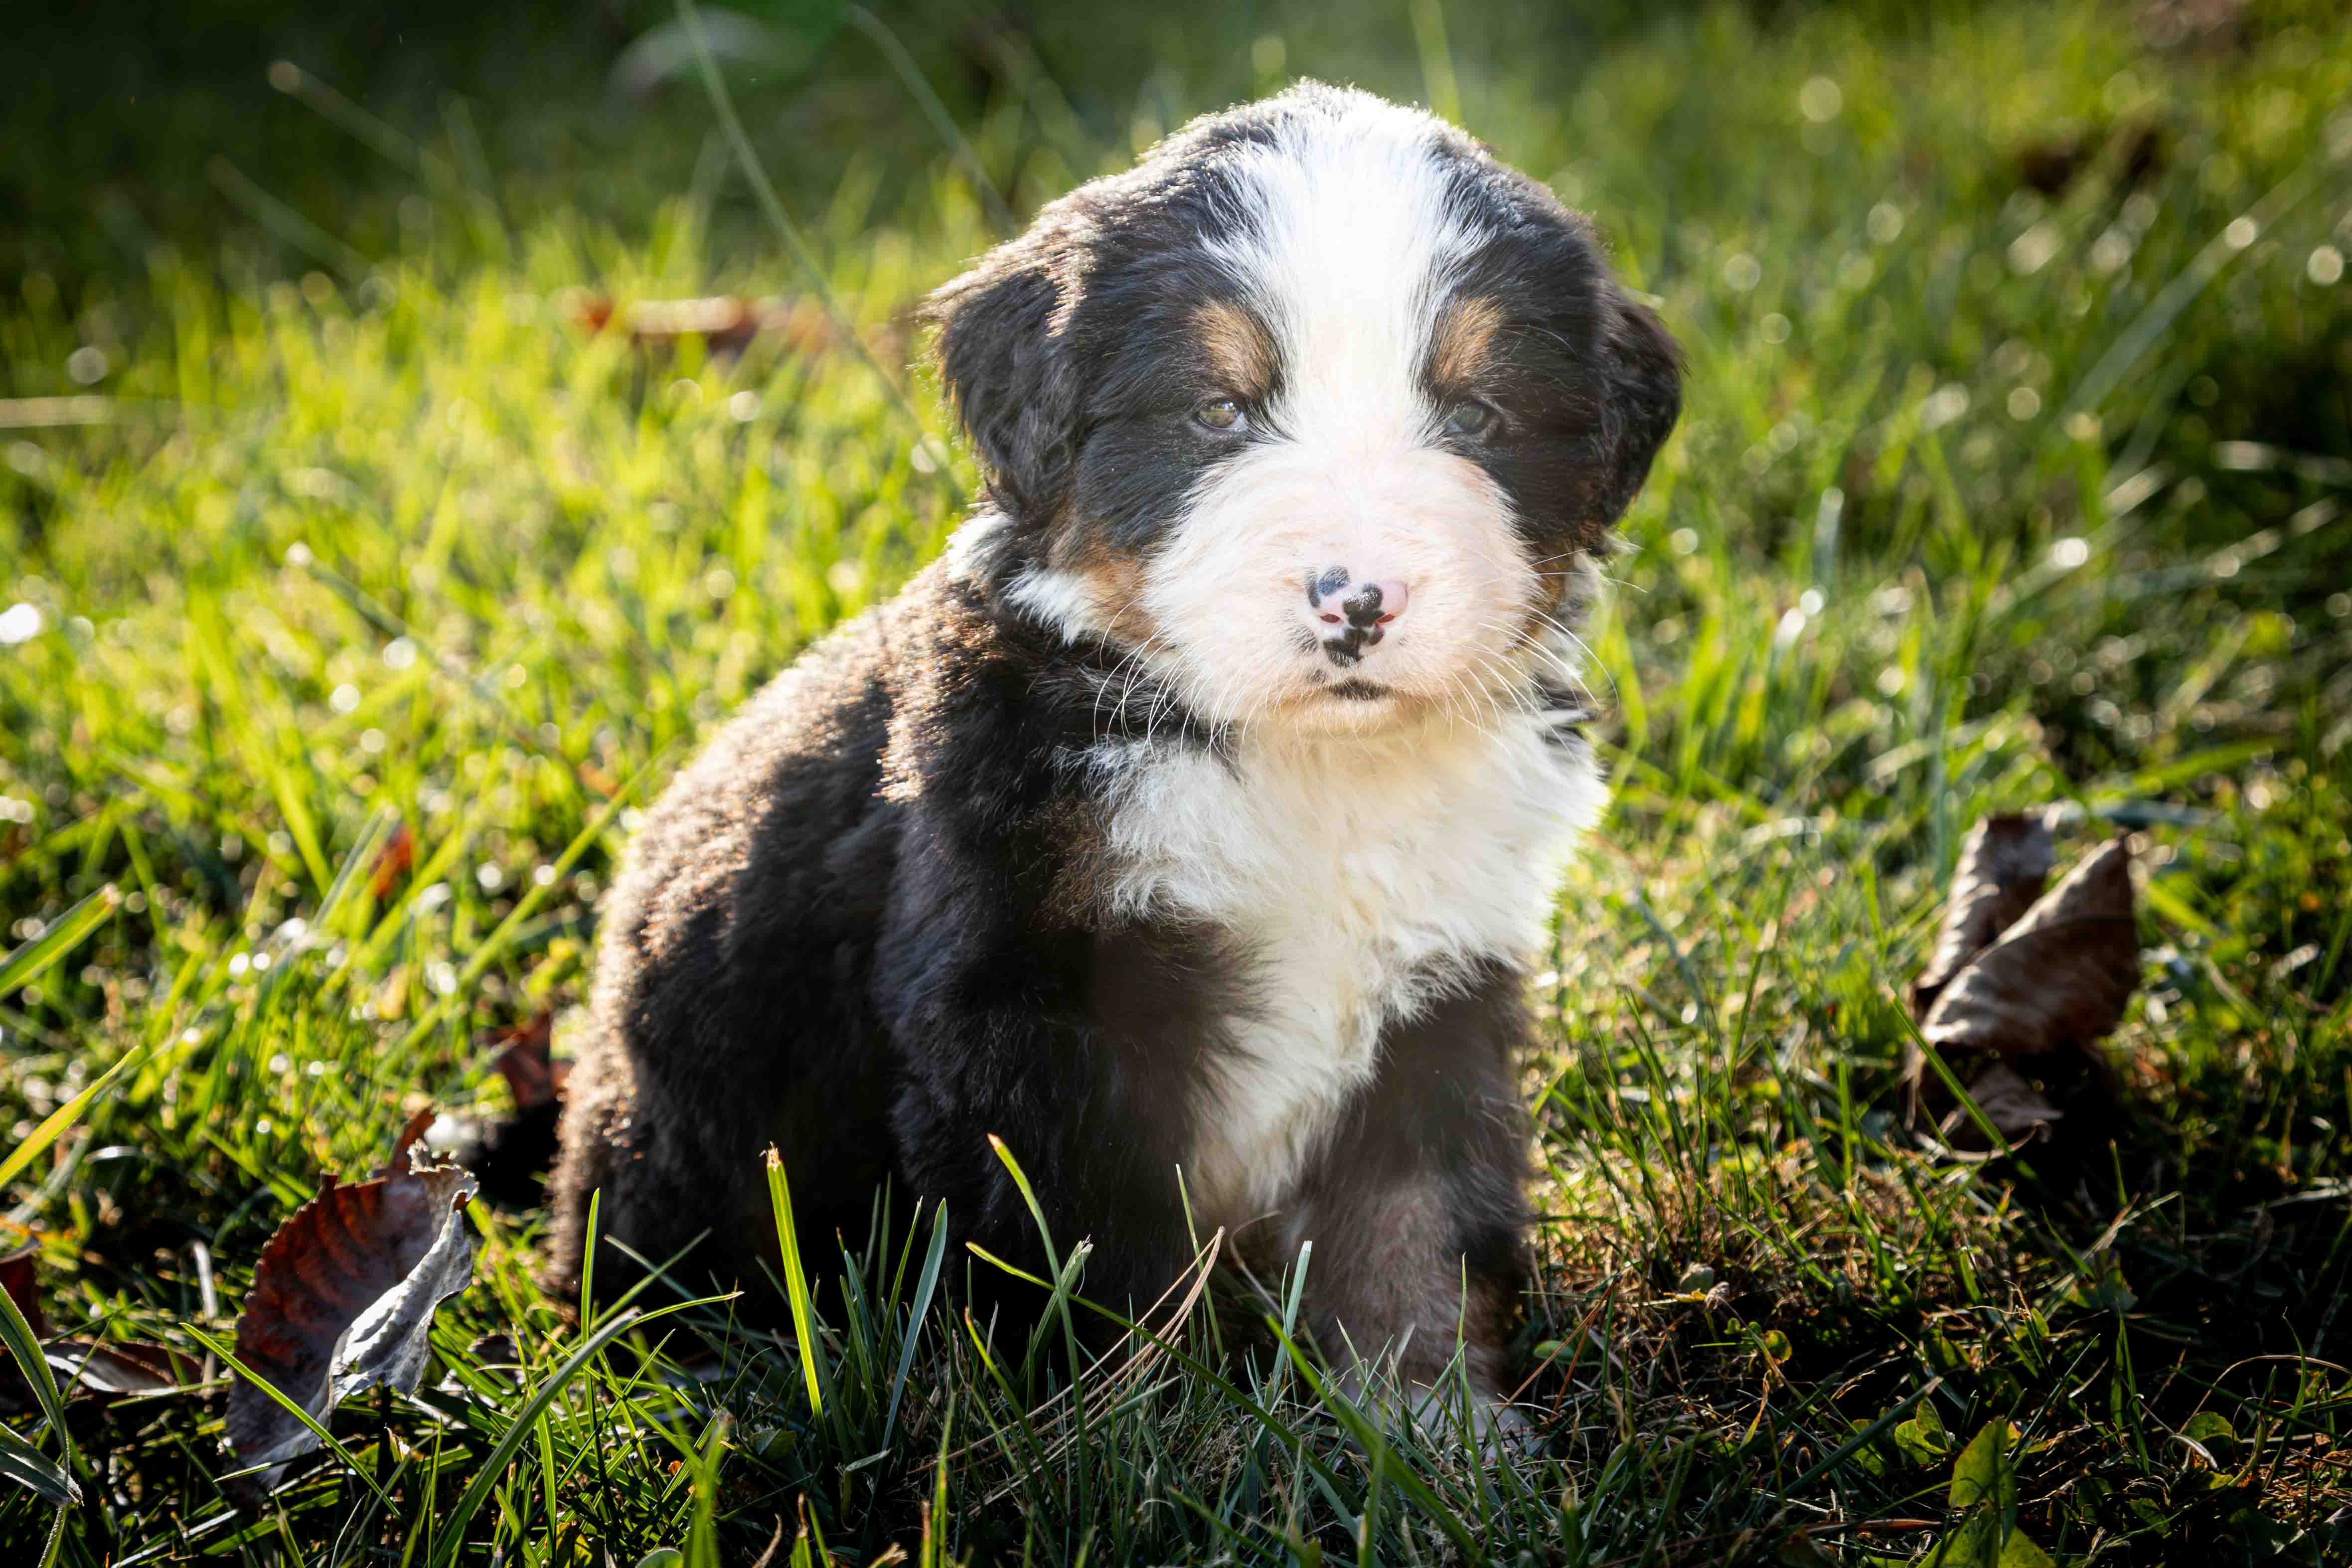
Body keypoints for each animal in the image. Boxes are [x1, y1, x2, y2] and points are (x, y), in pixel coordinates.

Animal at [548, 80, 1674, 1429]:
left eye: (1473, 413)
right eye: (1216, 409)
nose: (1356, 599)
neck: (1306, 772)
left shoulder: (1442, 987)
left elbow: (1416, 1231)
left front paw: (1435, 1424)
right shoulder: (1031, 1007)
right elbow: (1084, 1263)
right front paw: (1117, 1439)